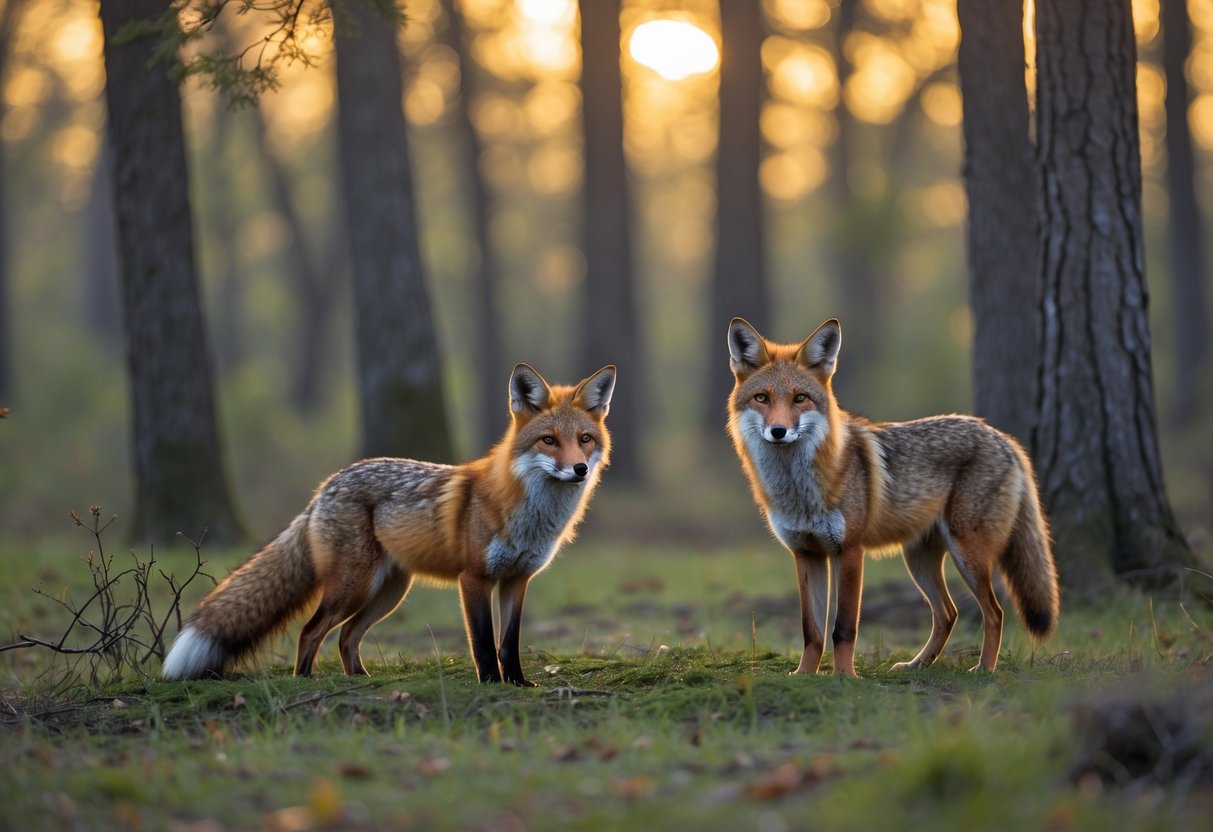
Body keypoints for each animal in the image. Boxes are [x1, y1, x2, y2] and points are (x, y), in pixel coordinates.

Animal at [162, 363, 616, 685]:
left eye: (585, 440)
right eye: (549, 441)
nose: (578, 469)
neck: (529, 517)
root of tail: (324, 488)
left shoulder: (517, 580)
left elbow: (510, 644)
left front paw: (518, 684)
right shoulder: (474, 579)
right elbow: (484, 644)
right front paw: (491, 684)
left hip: (387, 592)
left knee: (346, 637)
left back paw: (358, 679)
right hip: (353, 587)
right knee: (311, 631)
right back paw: (305, 681)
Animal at [726, 317, 1059, 676]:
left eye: (800, 398)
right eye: (762, 398)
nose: (778, 431)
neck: (799, 493)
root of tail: (1001, 436)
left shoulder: (849, 551)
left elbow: (843, 628)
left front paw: (845, 676)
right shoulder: (806, 554)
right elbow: (811, 630)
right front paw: (804, 675)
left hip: (967, 553)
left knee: (994, 612)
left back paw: (984, 668)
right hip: (919, 560)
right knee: (948, 613)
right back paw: (918, 665)